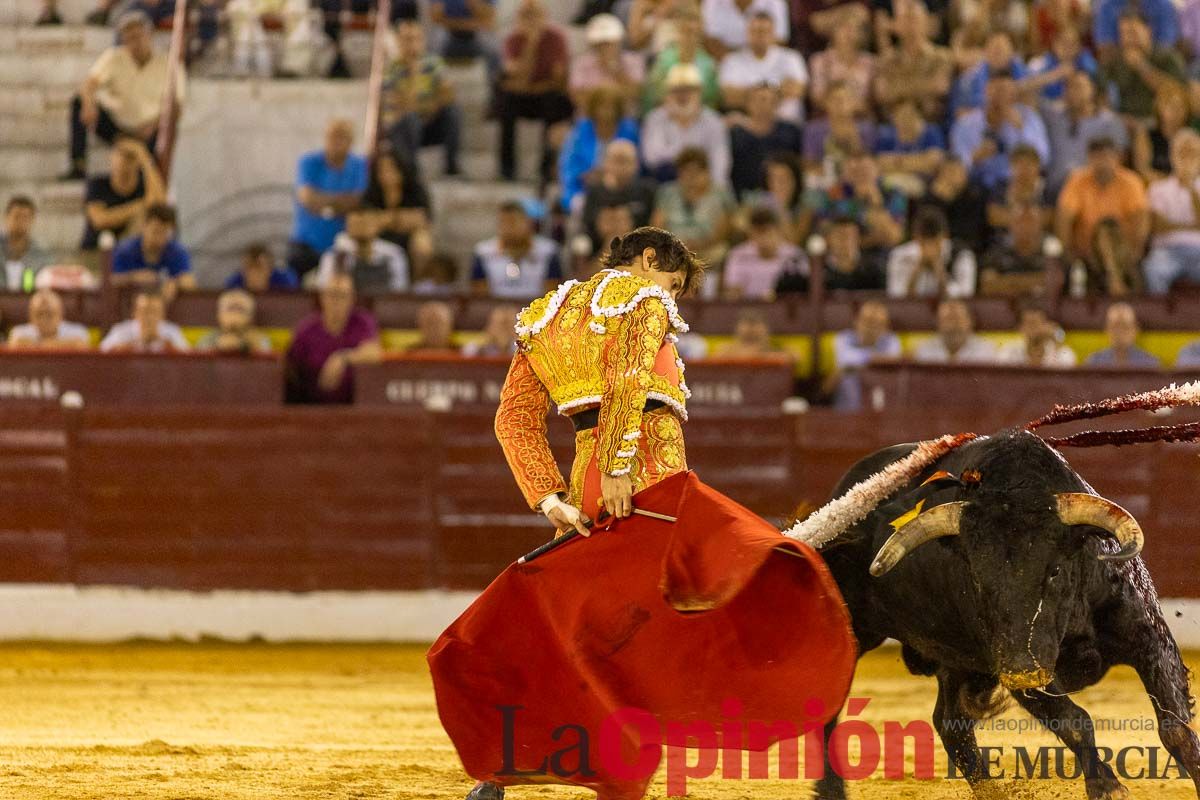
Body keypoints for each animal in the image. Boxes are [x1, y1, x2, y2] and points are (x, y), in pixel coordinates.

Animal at [806, 429, 1200, 796]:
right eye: (978, 578)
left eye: (1055, 570)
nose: (1023, 672)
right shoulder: (1012, 661)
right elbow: (1074, 720)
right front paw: (1107, 787)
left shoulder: (1148, 636)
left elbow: (1175, 727)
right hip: (856, 632)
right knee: (830, 710)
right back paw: (831, 790)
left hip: (958, 659)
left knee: (950, 724)